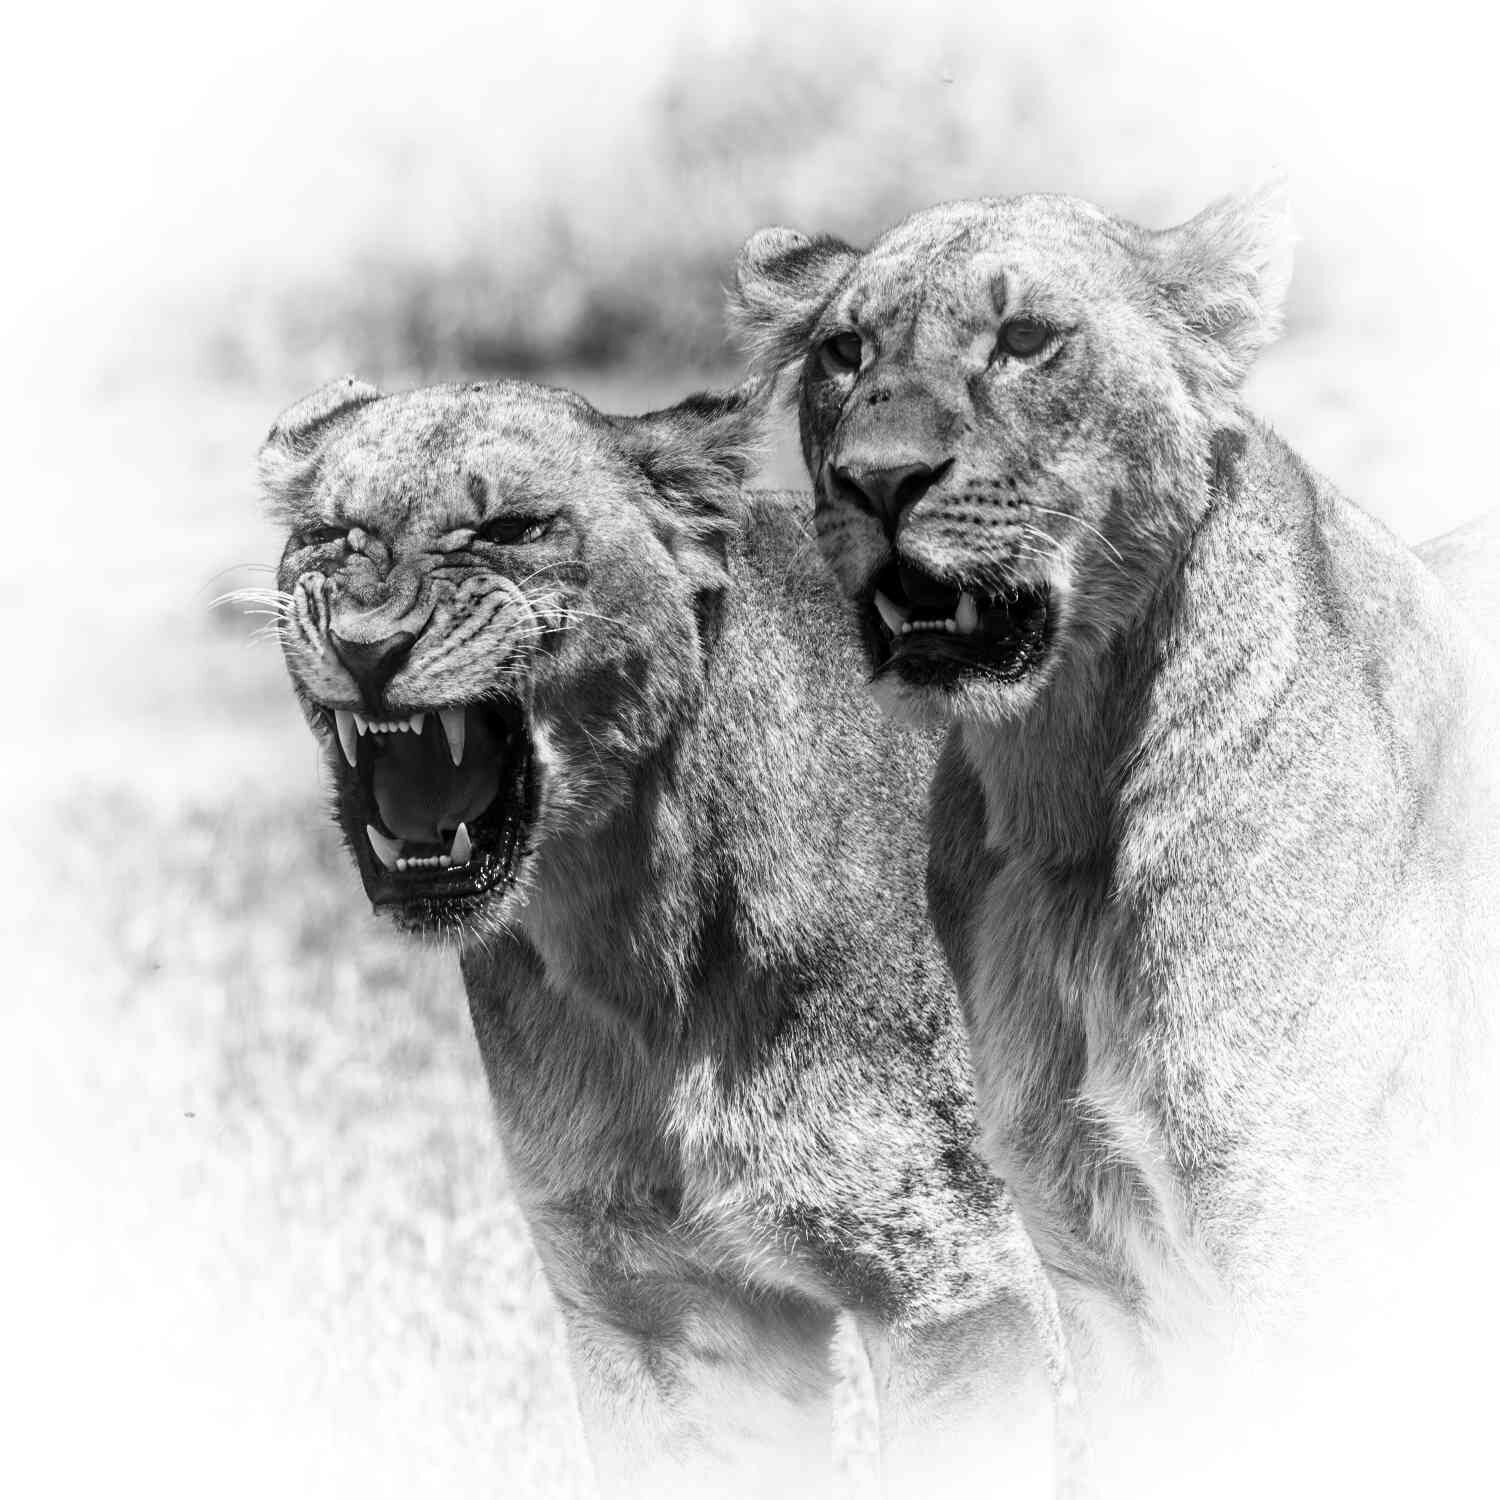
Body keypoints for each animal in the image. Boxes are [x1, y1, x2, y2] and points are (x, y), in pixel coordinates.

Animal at [257, 376, 1073, 1499]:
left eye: (511, 530)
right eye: (330, 535)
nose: (366, 642)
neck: (633, 946)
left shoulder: (955, 1278)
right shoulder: (661, 1300)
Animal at [728, 189, 1500, 1401]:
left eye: (1026, 338)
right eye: (844, 353)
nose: (880, 478)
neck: (1065, 792)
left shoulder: (1315, 1259)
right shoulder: (1097, 1271)